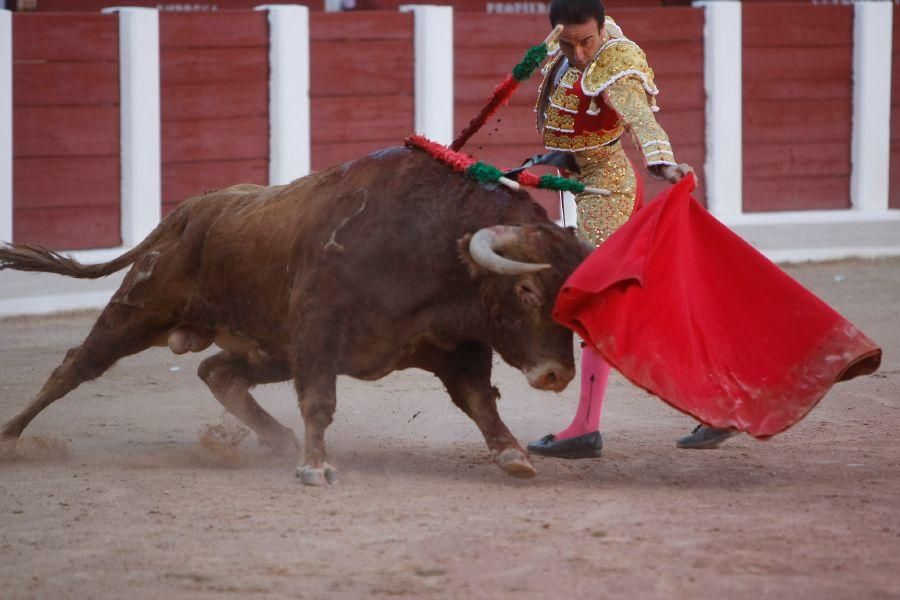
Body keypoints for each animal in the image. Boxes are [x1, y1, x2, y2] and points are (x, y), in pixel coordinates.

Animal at [0, 148, 592, 486]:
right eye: (525, 288)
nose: (557, 374)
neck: (430, 243)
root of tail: (187, 212)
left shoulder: (458, 346)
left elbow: (478, 402)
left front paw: (512, 454)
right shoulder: (319, 331)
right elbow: (320, 400)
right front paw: (315, 466)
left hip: (268, 347)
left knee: (217, 372)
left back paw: (276, 437)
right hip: (139, 310)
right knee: (74, 367)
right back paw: (10, 437)